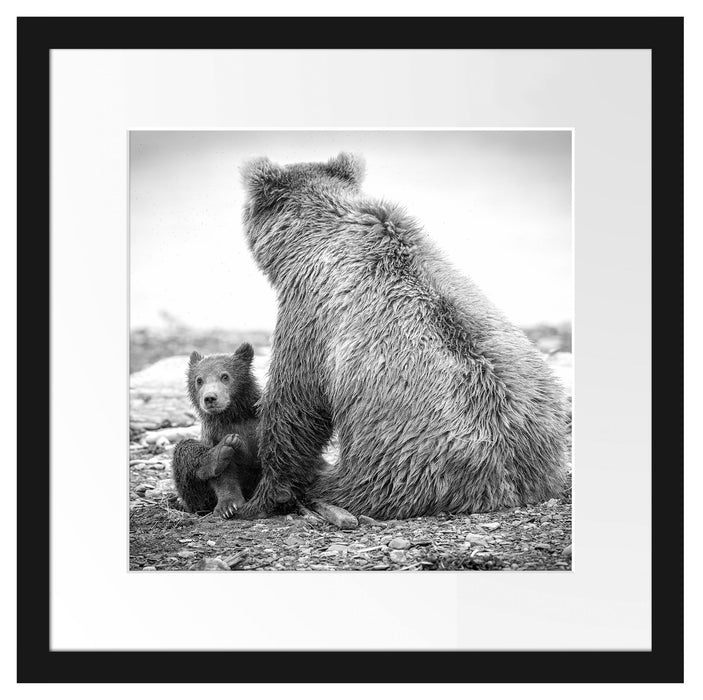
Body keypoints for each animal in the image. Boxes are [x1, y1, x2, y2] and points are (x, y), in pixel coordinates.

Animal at [172, 343, 262, 519]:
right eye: (199, 380)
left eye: (225, 376)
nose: (210, 398)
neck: (233, 415)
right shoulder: (214, 433)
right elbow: (223, 477)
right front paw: (228, 506)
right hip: (198, 499)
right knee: (185, 448)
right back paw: (218, 454)